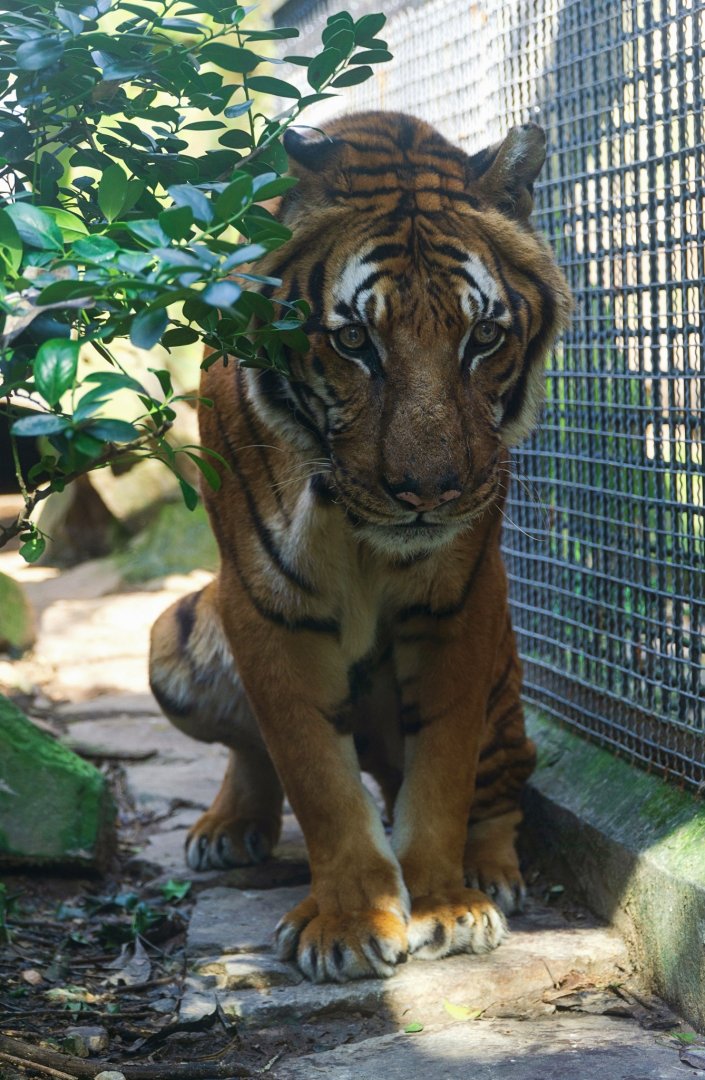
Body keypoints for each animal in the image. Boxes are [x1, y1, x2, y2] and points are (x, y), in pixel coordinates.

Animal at [149, 111, 572, 984]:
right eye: (352, 342)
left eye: (483, 336)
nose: (429, 492)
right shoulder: (263, 601)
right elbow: (313, 771)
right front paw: (346, 923)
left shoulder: (461, 596)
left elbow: (442, 765)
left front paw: (445, 906)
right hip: (173, 632)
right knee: (254, 747)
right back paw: (226, 829)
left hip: (505, 698)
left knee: (501, 786)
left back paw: (491, 872)